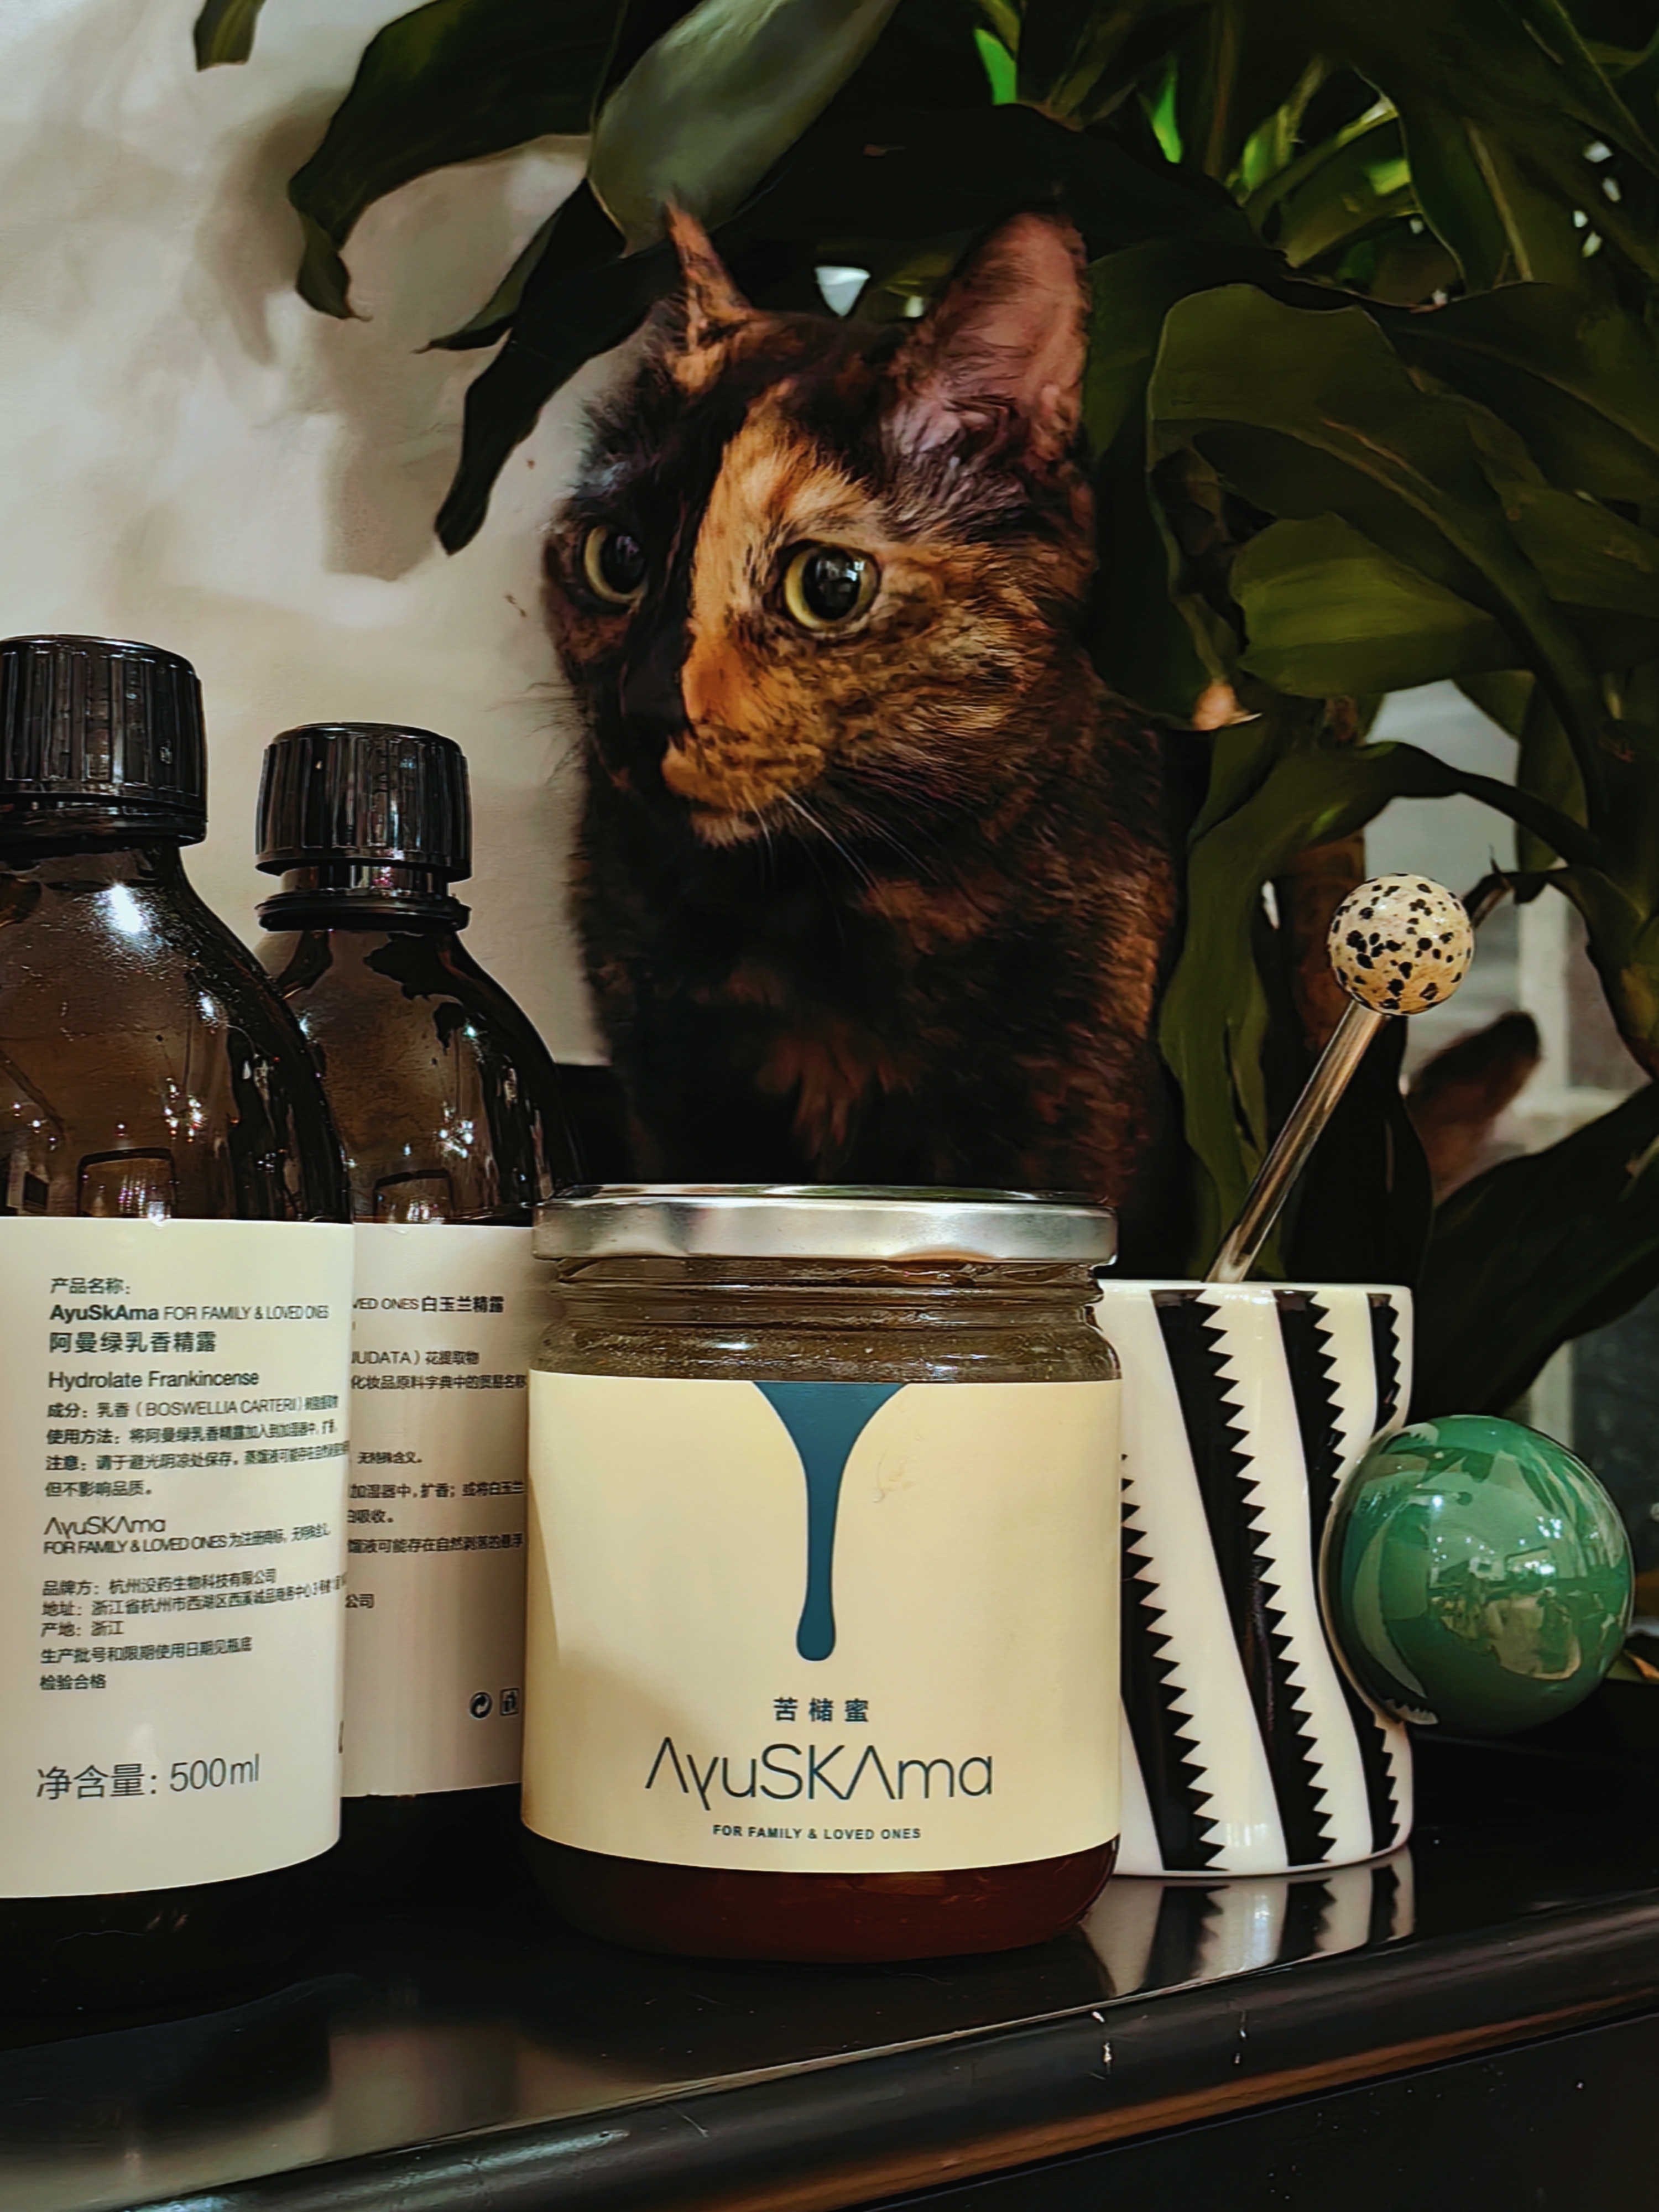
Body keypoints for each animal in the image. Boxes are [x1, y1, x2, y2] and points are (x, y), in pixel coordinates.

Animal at [543, 206, 1185, 1265]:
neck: (816, 903)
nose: (641, 707)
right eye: (616, 557)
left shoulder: (1075, 1106)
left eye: (830, 585)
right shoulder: (669, 1093)